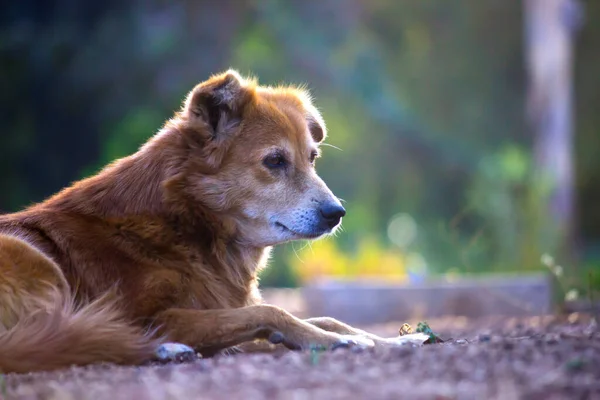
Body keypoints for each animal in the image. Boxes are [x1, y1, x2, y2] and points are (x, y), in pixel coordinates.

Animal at [0, 70, 422, 374]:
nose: (336, 213)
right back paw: (162, 348)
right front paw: (341, 341)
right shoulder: (150, 315)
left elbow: (327, 317)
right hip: (38, 266)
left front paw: (394, 340)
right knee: (62, 341)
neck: (182, 221)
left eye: (312, 158)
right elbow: (272, 311)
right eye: (275, 161)